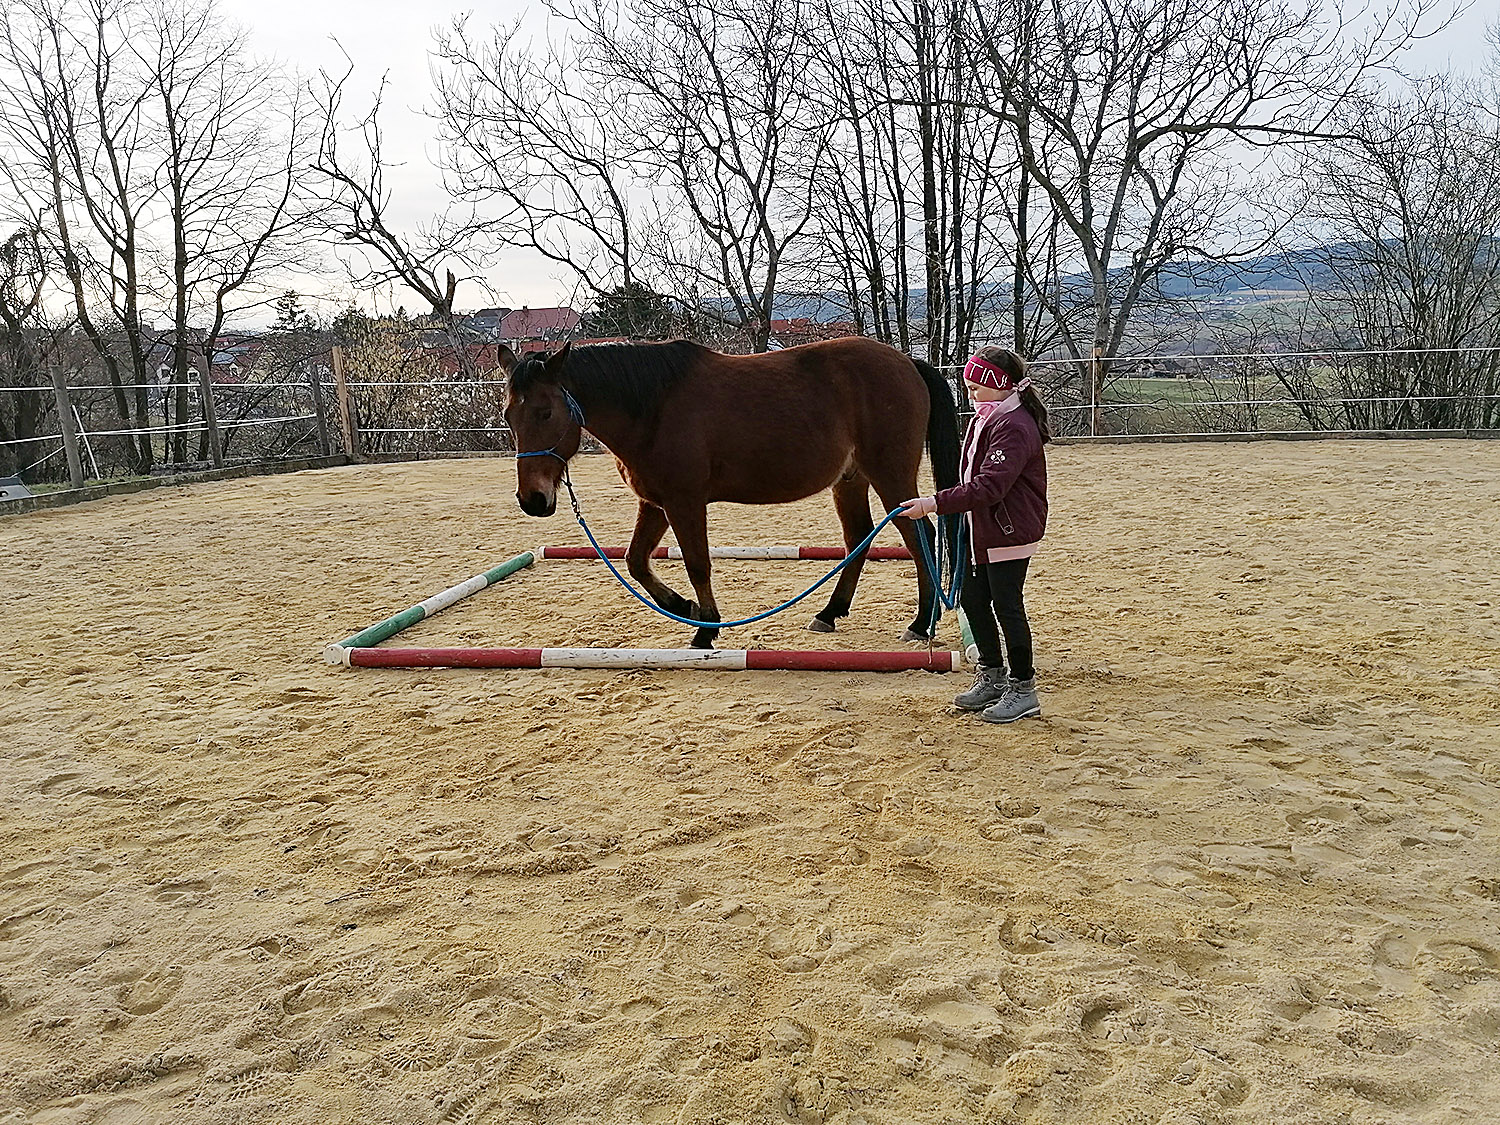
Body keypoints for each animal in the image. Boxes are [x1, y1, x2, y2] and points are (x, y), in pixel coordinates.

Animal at [505, 337, 960, 649]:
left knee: (921, 538)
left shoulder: (684, 503)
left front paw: (705, 629)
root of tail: (908, 362)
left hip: (890, 478)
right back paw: (830, 613)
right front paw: (683, 607)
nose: (533, 500)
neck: (653, 407)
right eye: (509, 415)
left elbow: (697, 564)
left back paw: (921, 623)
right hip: (850, 481)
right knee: (859, 539)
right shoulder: (654, 503)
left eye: (545, 412)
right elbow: (635, 561)